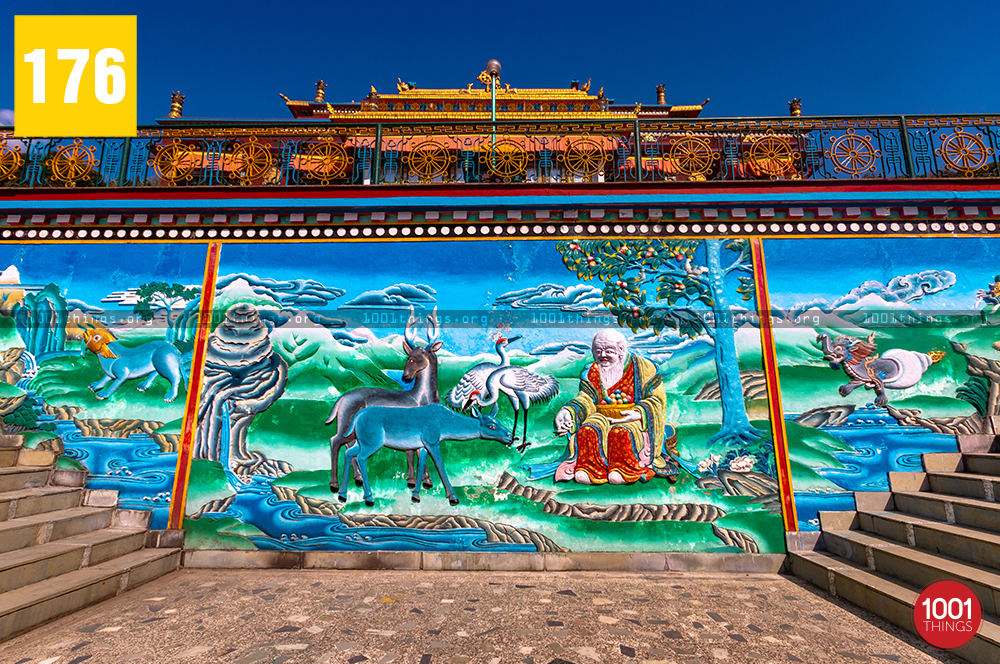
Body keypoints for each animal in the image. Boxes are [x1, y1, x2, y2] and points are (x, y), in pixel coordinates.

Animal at [326, 308, 440, 490]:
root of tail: (341, 399)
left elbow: (415, 452)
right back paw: (334, 484)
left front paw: (416, 480)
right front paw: (421, 481)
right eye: (408, 356)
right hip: (346, 422)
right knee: (334, 441)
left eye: (419, 357)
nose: (405, 376)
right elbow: (416, 452)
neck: (421, 399)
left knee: (348, 447)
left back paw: (358, 478)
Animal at [338, 402, 508, 506]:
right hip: (372, 443)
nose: (509, 436)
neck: (444, 423)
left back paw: (342, 494)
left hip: (362, 441)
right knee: (361, 458)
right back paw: (369, 498)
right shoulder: (432, 441)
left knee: (348, 452)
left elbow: (421, 465)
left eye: (499, 422)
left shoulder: (422, 446)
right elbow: (440, 464)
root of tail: (357, 417)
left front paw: (415, 495)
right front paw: (453, 497)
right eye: (491, 425)